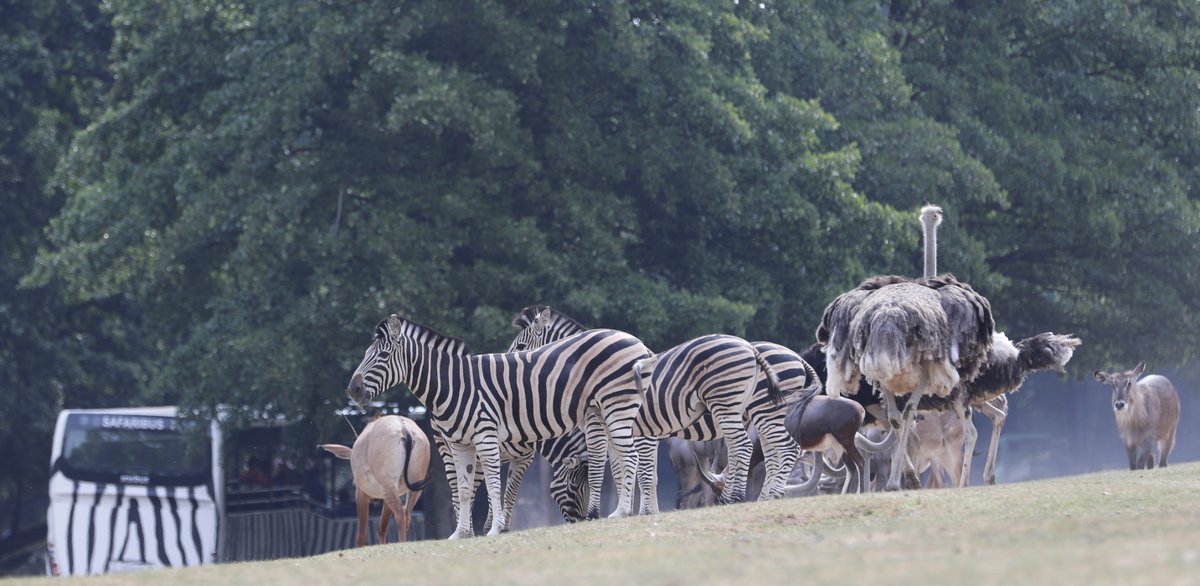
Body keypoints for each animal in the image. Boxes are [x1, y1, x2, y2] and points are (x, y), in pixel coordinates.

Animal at [319, 413, 432, 545]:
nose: (375, 500)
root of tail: (404, 428)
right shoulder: (389, 495)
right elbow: (382, 528)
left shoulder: (361, 494)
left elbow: (362, 534)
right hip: (413, 486)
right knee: (406, 514)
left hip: (388, 485)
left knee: (400, 512)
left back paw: (402, 543)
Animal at [343, 314, 652, 537]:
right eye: (367, 353)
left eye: (382, 357)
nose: (353, 390)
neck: (454, 385)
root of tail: (637, 342)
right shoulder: (461, 445)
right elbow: (466, 489)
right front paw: (462, 534)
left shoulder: (487, 437)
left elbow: (495, 487)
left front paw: (494, 529)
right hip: (605, 409)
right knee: (620, 457)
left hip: (616, 405)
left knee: (630, 457)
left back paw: (622, 512)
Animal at [506, 306, 796, 504]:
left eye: (520, 346)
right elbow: (631, 473)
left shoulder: (634, 431)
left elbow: (636, 473)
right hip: (763, 415)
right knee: (773, 453)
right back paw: (766, 497)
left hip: (757, 411)